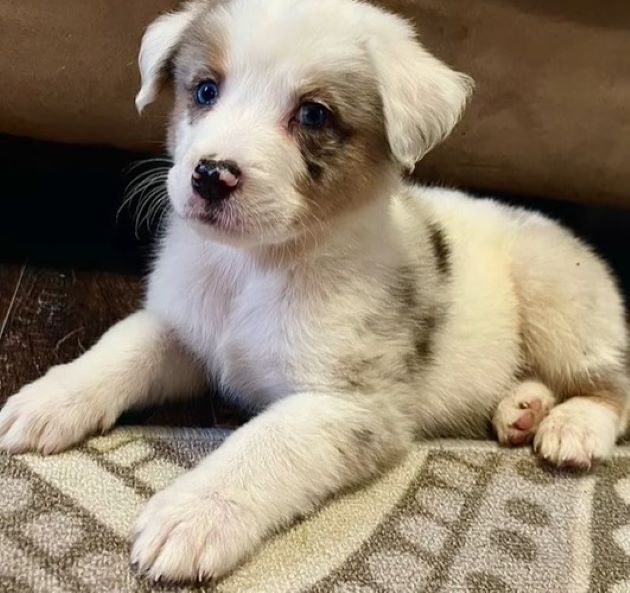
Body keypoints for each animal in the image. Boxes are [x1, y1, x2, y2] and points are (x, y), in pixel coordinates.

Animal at [1, 0, 630, 580]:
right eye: (205, 89)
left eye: (312, 114)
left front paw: (194, 514)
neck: (253, 268)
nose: (210, 175)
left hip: (557, 293)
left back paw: (572, 427)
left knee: (612, 387)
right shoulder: (181, 328)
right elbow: (118, 349)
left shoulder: (348, 404)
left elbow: (264, 446)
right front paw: (45, 400)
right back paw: (522, 408)